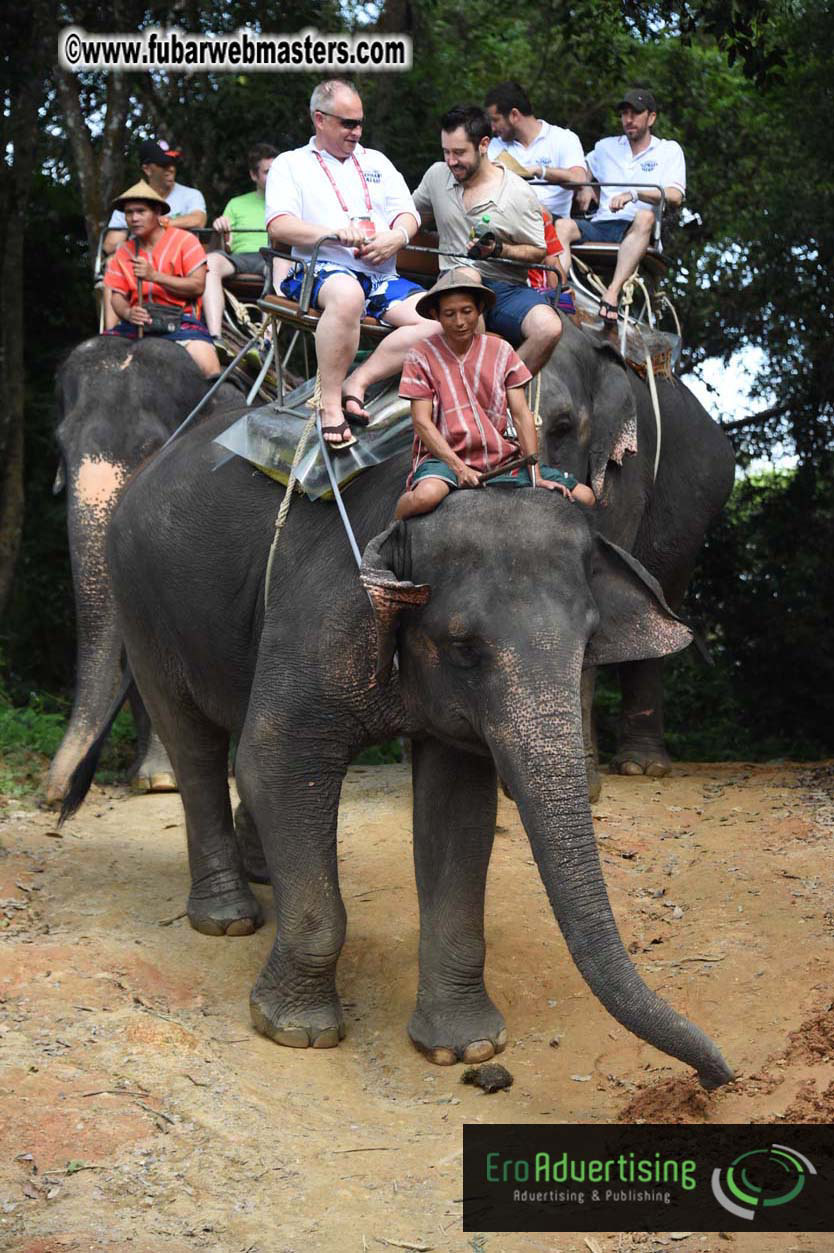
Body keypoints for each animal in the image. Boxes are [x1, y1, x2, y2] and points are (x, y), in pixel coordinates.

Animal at [62, 398, 733, 1090]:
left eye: (589, 641)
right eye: (463, 646)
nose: (715, 1080)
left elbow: (457, 808)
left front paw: (464, 1049)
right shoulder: (332, 608)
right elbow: (274, 758)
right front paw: (296, 1032)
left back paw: (260, 872)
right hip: (142, 601)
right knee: (193, 741)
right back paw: (228, 919)